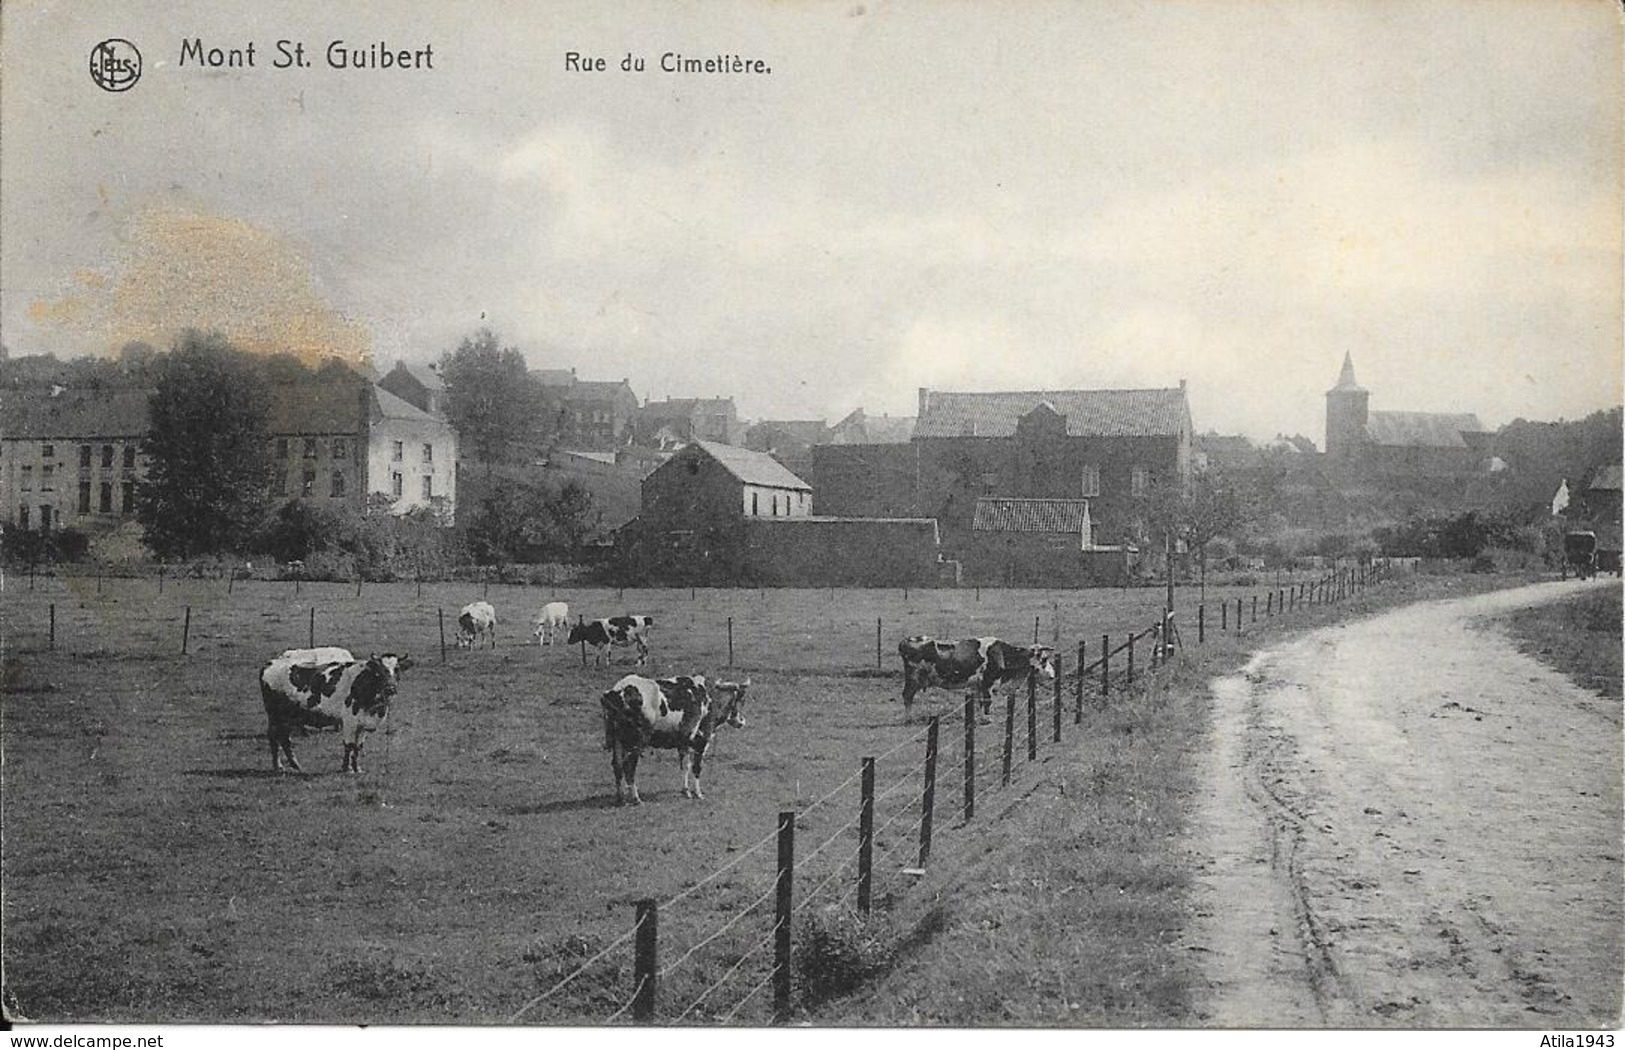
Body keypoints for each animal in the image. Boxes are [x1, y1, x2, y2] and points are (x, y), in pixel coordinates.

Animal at [258, 653, 412, 776]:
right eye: (379, 671)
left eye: (397, 669)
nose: (390, 689)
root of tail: (270, 663)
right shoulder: (350, 720)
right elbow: (349, 745)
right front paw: (347, 769)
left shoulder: (363, 723)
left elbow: (358, 747)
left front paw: (357, 768)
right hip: (274, 715)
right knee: (274, 737)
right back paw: (278, 767)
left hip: (288, 716)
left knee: (284, 738)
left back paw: (295, 765)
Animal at [598, 676, 747, 806]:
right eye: (739, 700)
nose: (742, 721)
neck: (710, 698)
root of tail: (619, 689)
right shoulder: (702, 740)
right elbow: (696, 767)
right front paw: (698, 793)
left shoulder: (684, 743)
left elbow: (685, 765)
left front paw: (686, 791)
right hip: (637, 742)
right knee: (629, 767)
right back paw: (636, 798)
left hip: (617, 740)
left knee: (617, 765)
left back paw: (620, 799)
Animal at [897, 637, 1059, 718]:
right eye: (1044, 659)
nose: (1053, 675)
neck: (1001, 654)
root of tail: (906, 640)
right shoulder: (988, 682)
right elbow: (987, 701)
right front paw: (987, 718)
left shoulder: (978, 685)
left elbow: (979, 702)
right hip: (913, 679)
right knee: (907, 696)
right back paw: (909, 718)